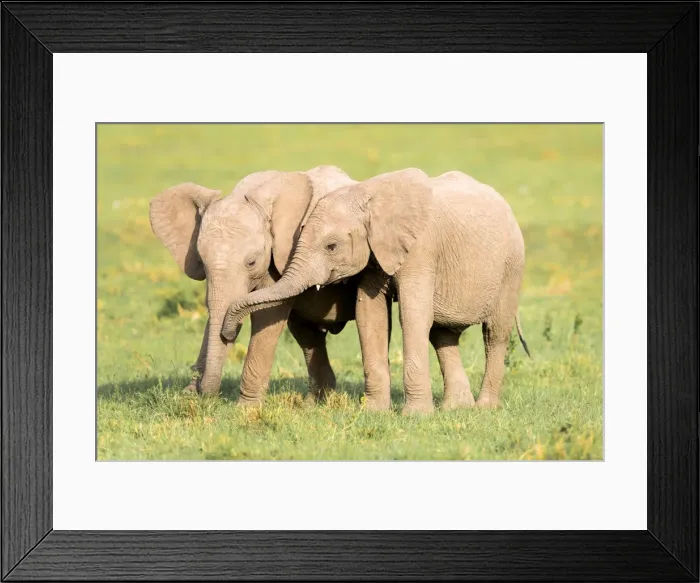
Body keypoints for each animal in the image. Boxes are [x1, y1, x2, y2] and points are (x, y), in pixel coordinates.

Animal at [148, 165, 365, 402]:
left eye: (251, 262)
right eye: (201, 263)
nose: (228, 333)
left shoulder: (282, 254)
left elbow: (268, 315)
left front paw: (246, 406)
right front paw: (190, 394)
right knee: (306, 333)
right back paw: (314, 403)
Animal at [221, 168, 530, 414]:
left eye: (331, 246)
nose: (228, 332)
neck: (368, 195)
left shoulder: (421, 250)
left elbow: (413, 314)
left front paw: (414, 416)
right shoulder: (374, 255)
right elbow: (370, 314)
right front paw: (374, 412)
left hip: (511, 268)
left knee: (494, 334)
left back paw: (484, 408)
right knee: (443, 335)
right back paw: (456, 408)